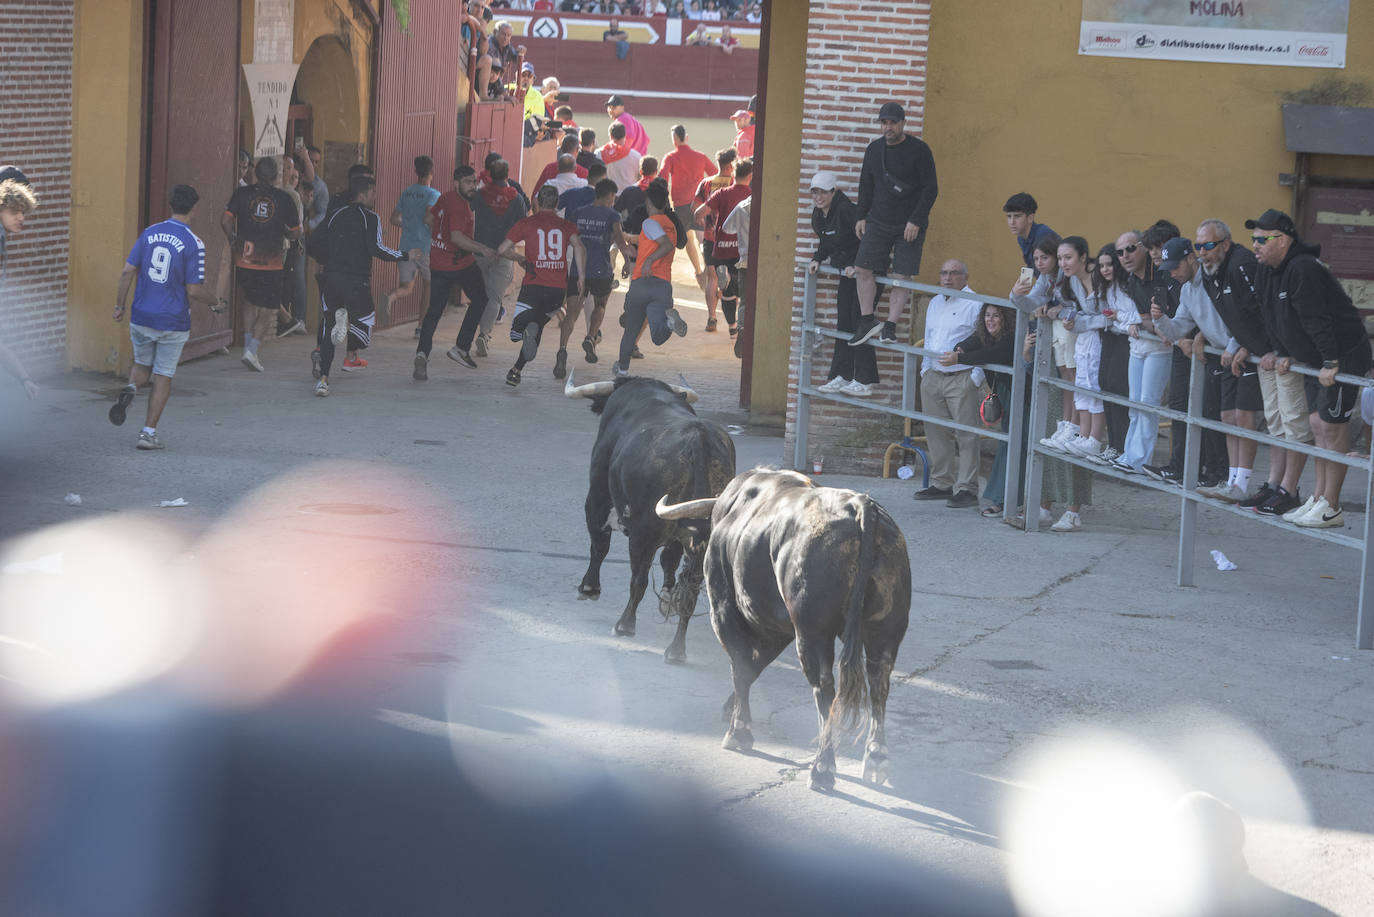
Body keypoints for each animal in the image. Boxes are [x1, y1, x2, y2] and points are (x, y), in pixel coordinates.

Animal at [656, 467, 912, 791]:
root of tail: (858, 506)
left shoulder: (725, 609)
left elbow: (741, 666)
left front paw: (739, 731)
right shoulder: (778, 627)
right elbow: (754, 666)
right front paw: (732, 710)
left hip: (813, 633)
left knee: (824, 687)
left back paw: (823, 767)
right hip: (886, 631)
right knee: (879, 684)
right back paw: (876, 759)